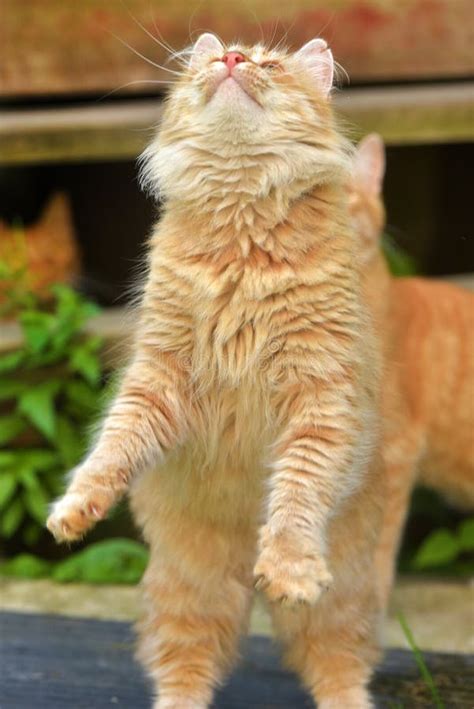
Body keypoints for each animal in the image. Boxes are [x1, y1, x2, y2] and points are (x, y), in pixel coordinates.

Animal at [48, 37, 384, 708]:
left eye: (269, 64)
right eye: (215, 59)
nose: (231, 59)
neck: (241, 229)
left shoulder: (320, 395)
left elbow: (297, 492)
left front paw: (286, 567)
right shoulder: (157, 377)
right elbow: (110, 450)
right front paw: (75, 509)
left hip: (338, 602)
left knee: (337, 666)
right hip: (190, 588)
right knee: (185, 667)